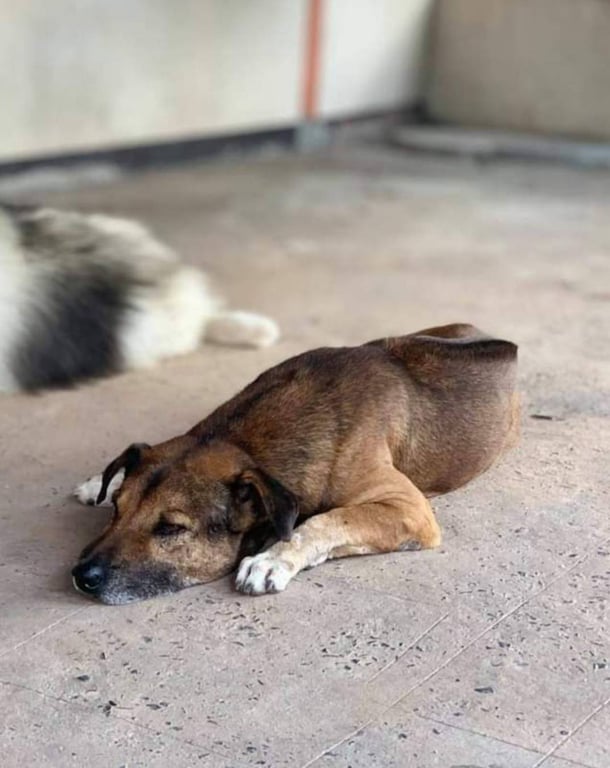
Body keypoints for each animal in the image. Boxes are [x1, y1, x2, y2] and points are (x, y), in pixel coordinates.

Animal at [72, 323, 519, 604]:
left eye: (170, 529)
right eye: (118, 511)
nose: (80, 577)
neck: (243, 440)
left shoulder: (409, 509)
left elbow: (326, 520)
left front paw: (273, 558)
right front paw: (100, 483)